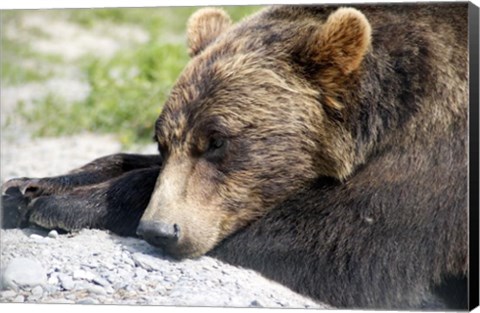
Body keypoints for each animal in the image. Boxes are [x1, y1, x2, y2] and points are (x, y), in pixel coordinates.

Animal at [0, 3, 472, 310]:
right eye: (162, 140)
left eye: (218, 141)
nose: (159, 230)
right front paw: (26, 188)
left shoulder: (439, 152)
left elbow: (341, 244)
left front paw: (64, 204)